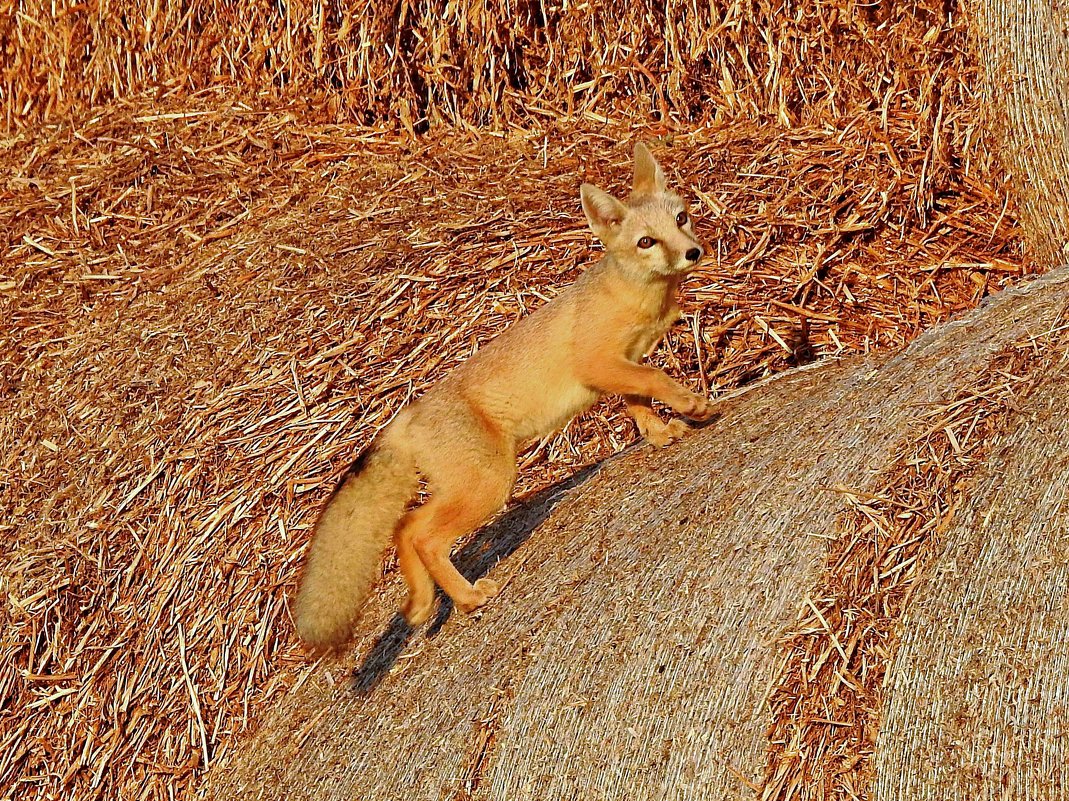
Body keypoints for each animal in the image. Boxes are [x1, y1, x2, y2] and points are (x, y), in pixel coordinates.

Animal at [295, 140, 709, 645]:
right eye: (646, 241)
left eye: (681, 218)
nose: (692, 252)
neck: (636, 297)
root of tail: (407, 414)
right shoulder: (599, 363)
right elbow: (654, 381)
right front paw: (691, 404)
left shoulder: (619, 368)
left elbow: (639, 403)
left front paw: (661, 433)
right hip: (490, 484)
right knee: (422, 535)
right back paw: (469, 598)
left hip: (467, 487)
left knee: (404, 529)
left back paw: (424, 602)